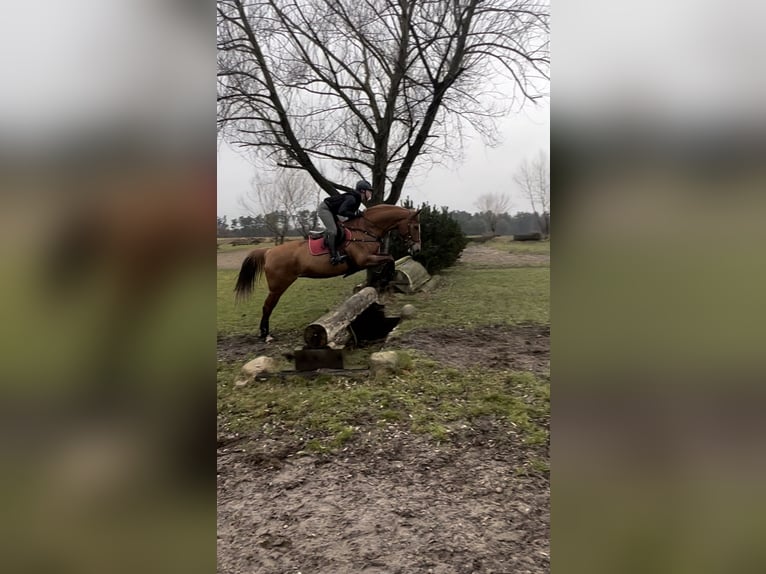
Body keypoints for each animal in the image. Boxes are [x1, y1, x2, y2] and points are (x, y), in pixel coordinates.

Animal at [236, 205, 424, 340]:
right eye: (415, 227)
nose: (417, 249)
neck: (366, 229)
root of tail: (268, 251)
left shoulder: (373, 257)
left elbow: (388, 259)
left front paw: (383, 280)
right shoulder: (364, 260)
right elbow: (390, 259)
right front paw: (386, 279)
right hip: (278, 286)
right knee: (268, 306)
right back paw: (265, 335)